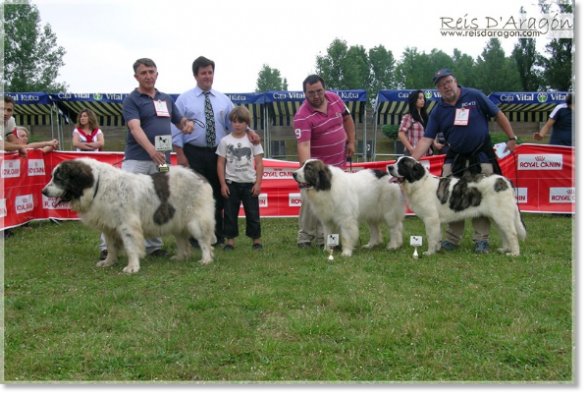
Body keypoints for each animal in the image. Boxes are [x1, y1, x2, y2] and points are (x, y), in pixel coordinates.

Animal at [386, 156, 528, 255]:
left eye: (403, 164)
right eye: (396, 161)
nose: (389, 167)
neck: (419, 182)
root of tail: (505, 181)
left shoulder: (431, 219)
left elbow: (431, 237)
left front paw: (429, 252)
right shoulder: (437, 221)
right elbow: (437, 236)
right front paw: (437, 250)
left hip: (501, 215)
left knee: (512, 234)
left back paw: (514, 253)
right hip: (496, 217)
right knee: (504, 233)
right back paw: (505, 249)